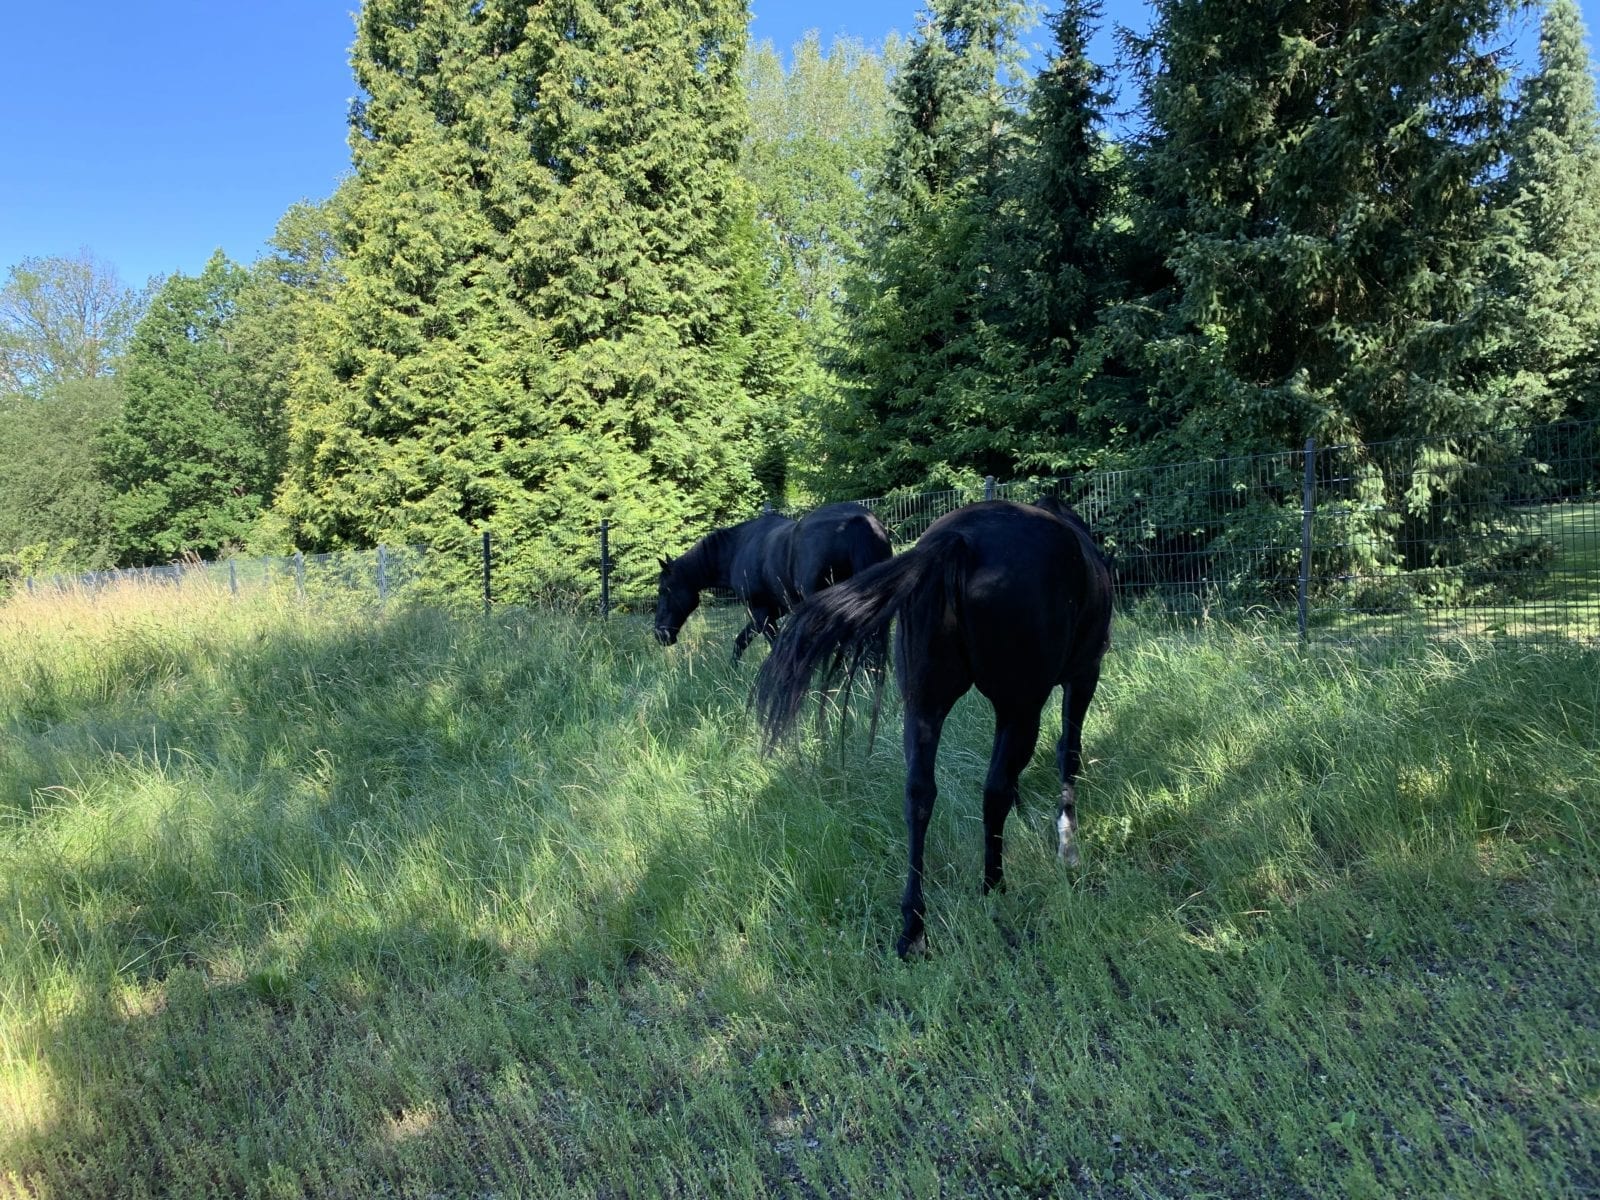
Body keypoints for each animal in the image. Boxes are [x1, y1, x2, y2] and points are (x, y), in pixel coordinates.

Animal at [654, 501, 894, 661]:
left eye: (664, 590)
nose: (659, 634)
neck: (737, 548)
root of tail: (858, 522)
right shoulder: (771, 611)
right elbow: (740, 642)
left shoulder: (761, 612)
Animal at [753, 498, 1113, 958]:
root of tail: (959, 540)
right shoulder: (1084, 675)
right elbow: (1068, 753)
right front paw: (1067, 846)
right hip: (1020, 705)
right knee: (993, 789)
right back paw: (993, 887)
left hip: (924, 706)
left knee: (919, 795)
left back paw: (913, 927)